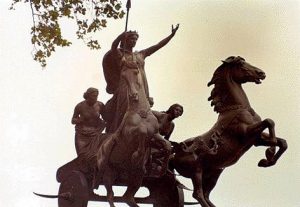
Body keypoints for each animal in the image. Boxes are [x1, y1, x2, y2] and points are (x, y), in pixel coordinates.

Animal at [171, 56, 286, 207]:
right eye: (241, 64)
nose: (261, 73)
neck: (237, 108)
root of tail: (173, 155)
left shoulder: (256, 139)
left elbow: (282, 142)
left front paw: (266, 161)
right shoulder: (246, 133)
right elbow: (269, 121)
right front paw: (269, 153)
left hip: (214, 173)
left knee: (206, 195)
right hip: (196, 171)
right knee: (198, 194)